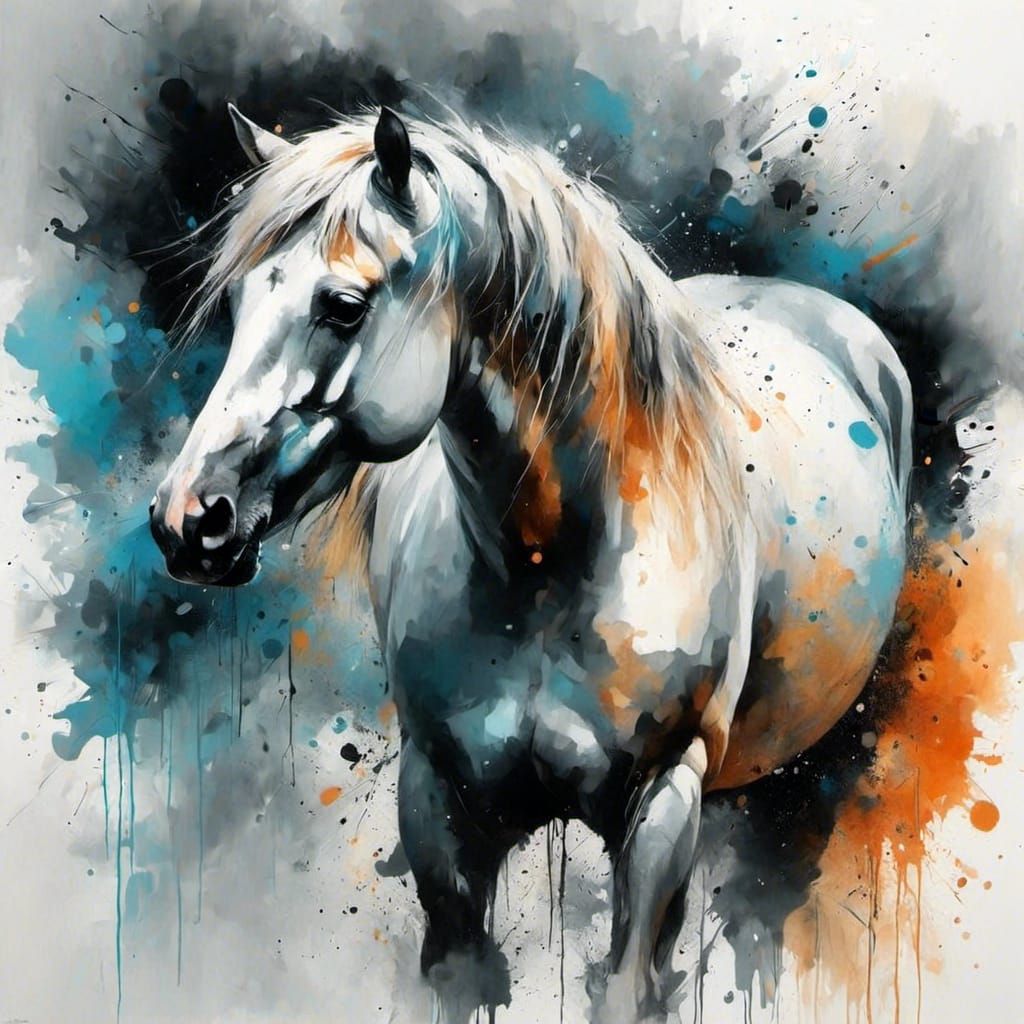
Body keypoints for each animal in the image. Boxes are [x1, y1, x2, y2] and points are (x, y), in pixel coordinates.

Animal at [149, 104, 912, 1023]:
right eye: (234, 303)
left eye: (343, 305)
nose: (188, 519)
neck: (550, 566)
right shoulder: (438, 809)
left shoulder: (661, 812)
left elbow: (628, 985)